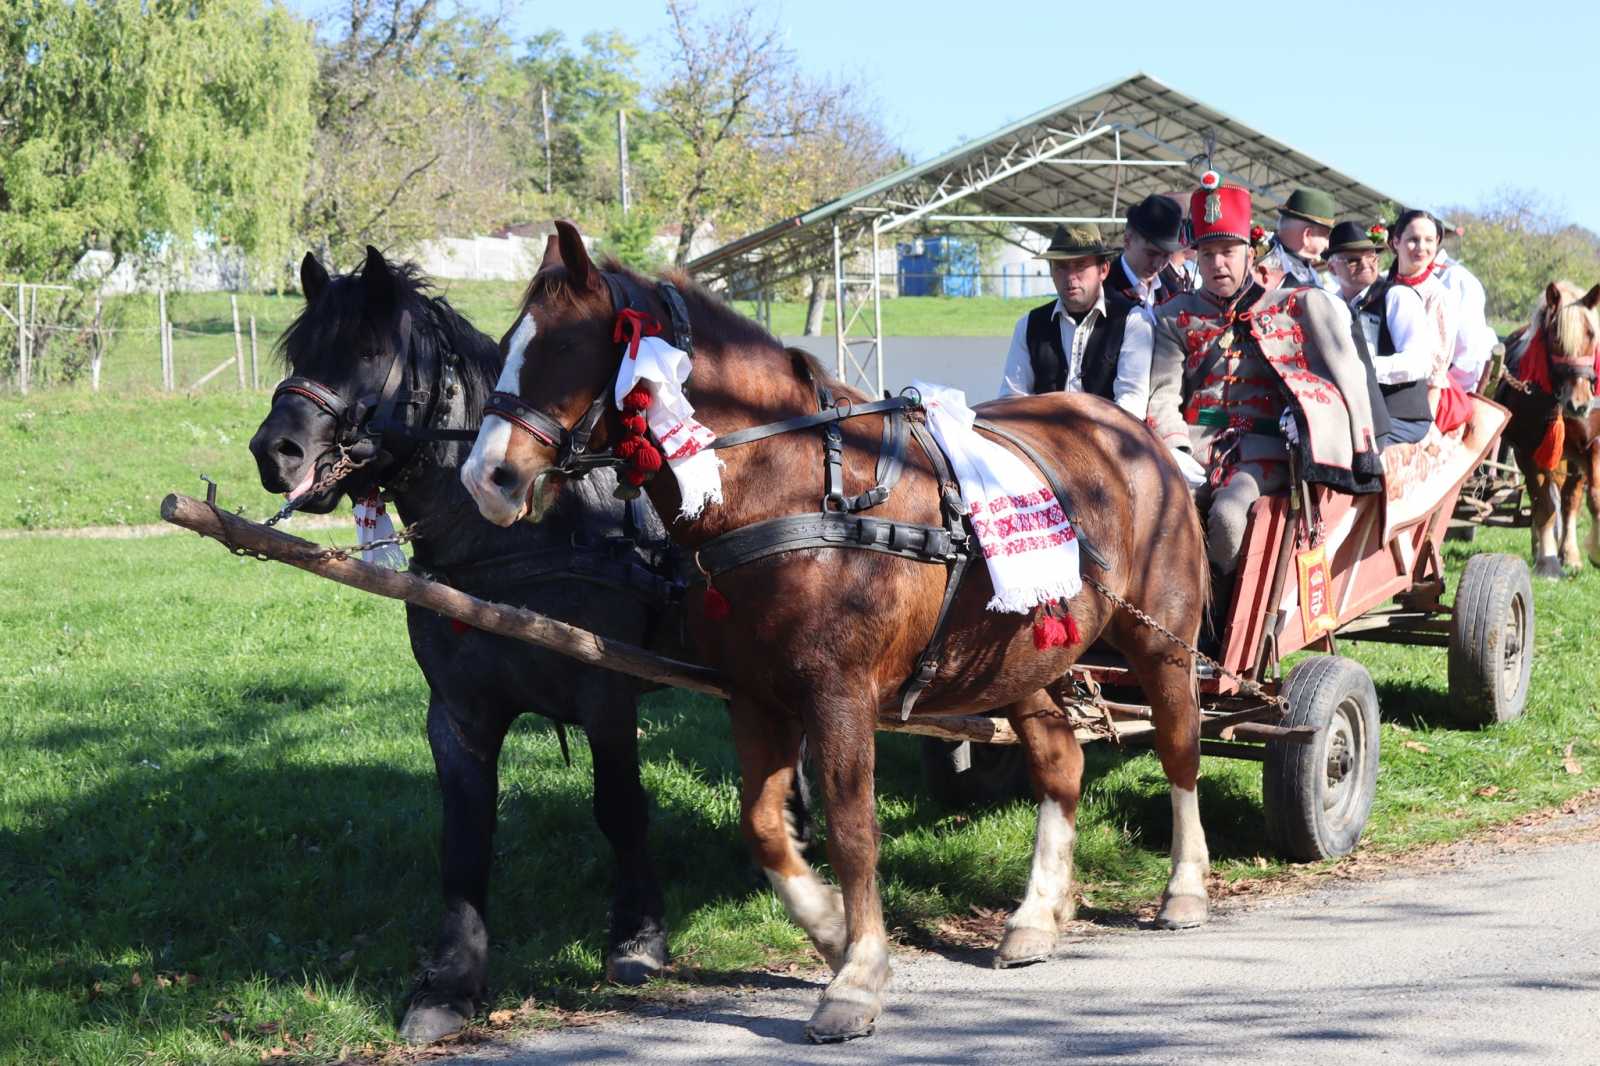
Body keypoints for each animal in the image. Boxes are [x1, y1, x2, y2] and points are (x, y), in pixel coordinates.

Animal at [246, 246, 684, 1037]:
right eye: (300, 351)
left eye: (369, 351)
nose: (276, 451)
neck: (526, 532)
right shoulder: (457, 713)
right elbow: (465, 838)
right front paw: (451, 982)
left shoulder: (607, 697)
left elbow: (619, 808)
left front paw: (638, 936)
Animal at [457, 219, 1203, 1043]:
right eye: (508, 341)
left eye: (564, 346)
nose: (485, 477)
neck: (796, 488)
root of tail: (1132, 431)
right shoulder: (753, 696)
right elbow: (763, 825)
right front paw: (830, 930)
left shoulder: (838, 693)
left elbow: (852, 827)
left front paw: (858, 974)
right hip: (1017, 661)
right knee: (1060, 763)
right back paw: (1036, 916)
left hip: (1163, 640)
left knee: (1179, 748)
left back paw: (1184, 888)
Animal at [1497, 280, 1600, 573]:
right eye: (1556, 338)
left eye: (1591, 334)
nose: (1579, 404)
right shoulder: (1527, 452)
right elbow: (1543, 505)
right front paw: (1548, 561)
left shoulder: (1591, 445)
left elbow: (1592, 499)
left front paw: (1592, 552)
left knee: (1569, 498)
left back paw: (1570, 552)